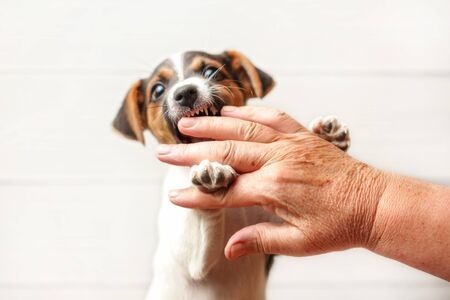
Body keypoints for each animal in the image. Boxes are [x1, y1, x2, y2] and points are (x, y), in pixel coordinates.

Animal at [113, 50, 352, 298]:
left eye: (210, 71)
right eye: (158, 90)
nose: (185, 92)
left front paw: (325, 137)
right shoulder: (193, 262)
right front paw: (211, 173)